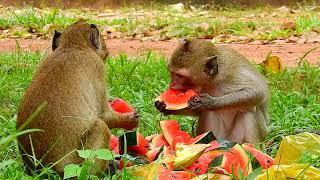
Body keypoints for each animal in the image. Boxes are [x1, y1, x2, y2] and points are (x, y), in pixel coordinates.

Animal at [15, 20, 139, 176]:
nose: (105, 49)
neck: (72, 47)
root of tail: (41, 168)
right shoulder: (97, 66)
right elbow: (103, 116)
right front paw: (129, 119)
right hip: (76, 163)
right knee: (100, 127)